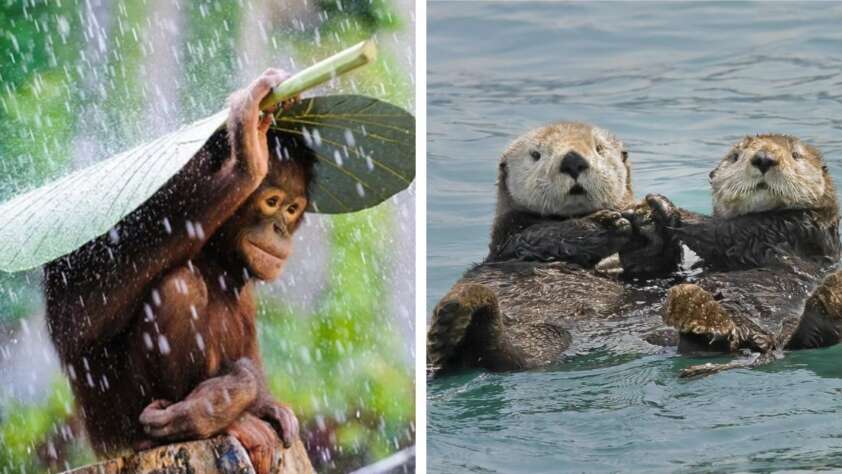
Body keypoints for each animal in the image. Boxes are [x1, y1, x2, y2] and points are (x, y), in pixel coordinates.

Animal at [43, 69, 312, 474]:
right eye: (272, 201)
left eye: (293, 208)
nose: (280, 227)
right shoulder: (164, 185)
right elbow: (75, 316)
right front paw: (247, 155)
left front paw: (262, 402)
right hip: (122, 424)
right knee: (179, 284)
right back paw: (213, 419)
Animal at [426, 122, 681, 376]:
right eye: (536, 154)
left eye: (599, 148)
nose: (572, 160)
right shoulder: (511, 238)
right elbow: (543, 237)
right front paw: (605, 225)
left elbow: (649, 265)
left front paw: (650, 222)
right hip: (540, 331)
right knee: (511, 358)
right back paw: (458, 322)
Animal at [661, 134, 842, 376]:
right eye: (736, 156)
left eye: (796, 155)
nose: (764, 158)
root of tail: (772, 343)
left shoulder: (784, 229)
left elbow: (721, 232)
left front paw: (664, 205)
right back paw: (692, 308)